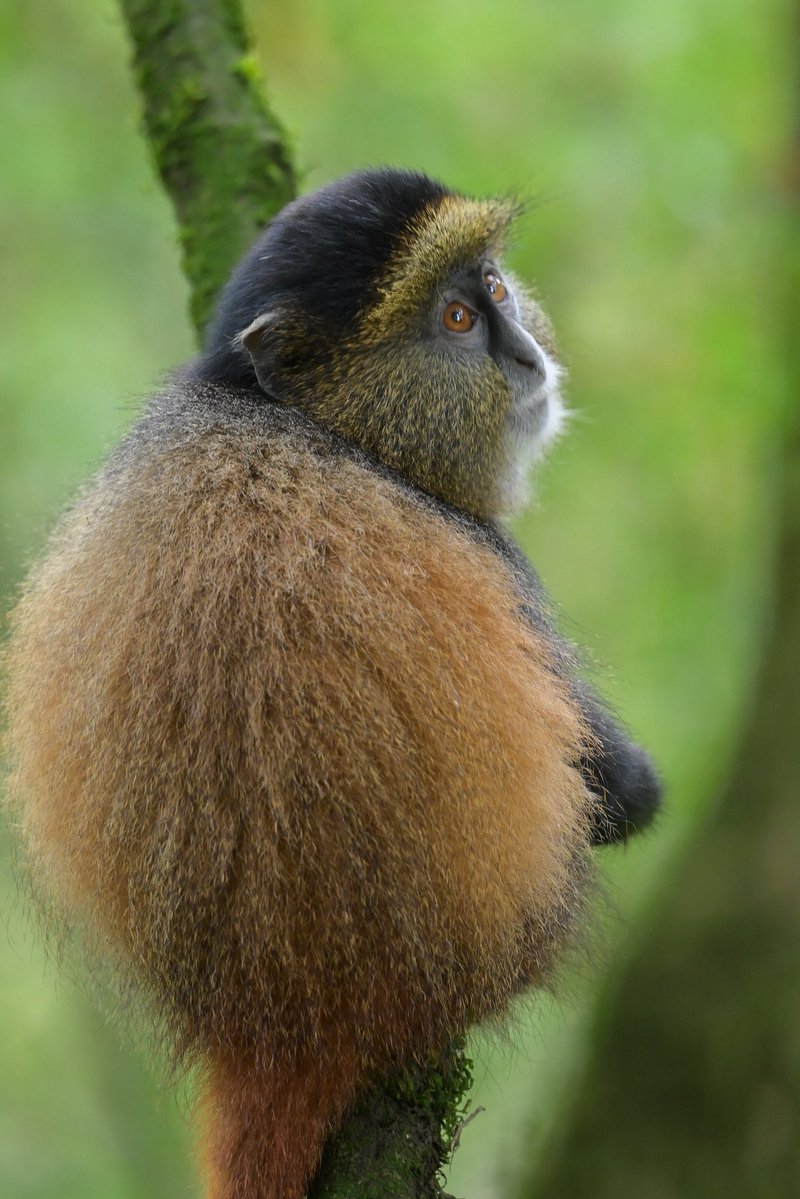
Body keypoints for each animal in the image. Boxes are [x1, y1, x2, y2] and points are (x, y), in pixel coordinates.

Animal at [3, 167, 660, 1199]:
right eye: (458, 318)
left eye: (494, 288)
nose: (525, 357)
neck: (291, 411)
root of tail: (275, 1020)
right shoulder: (494, 557)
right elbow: (618, 793)